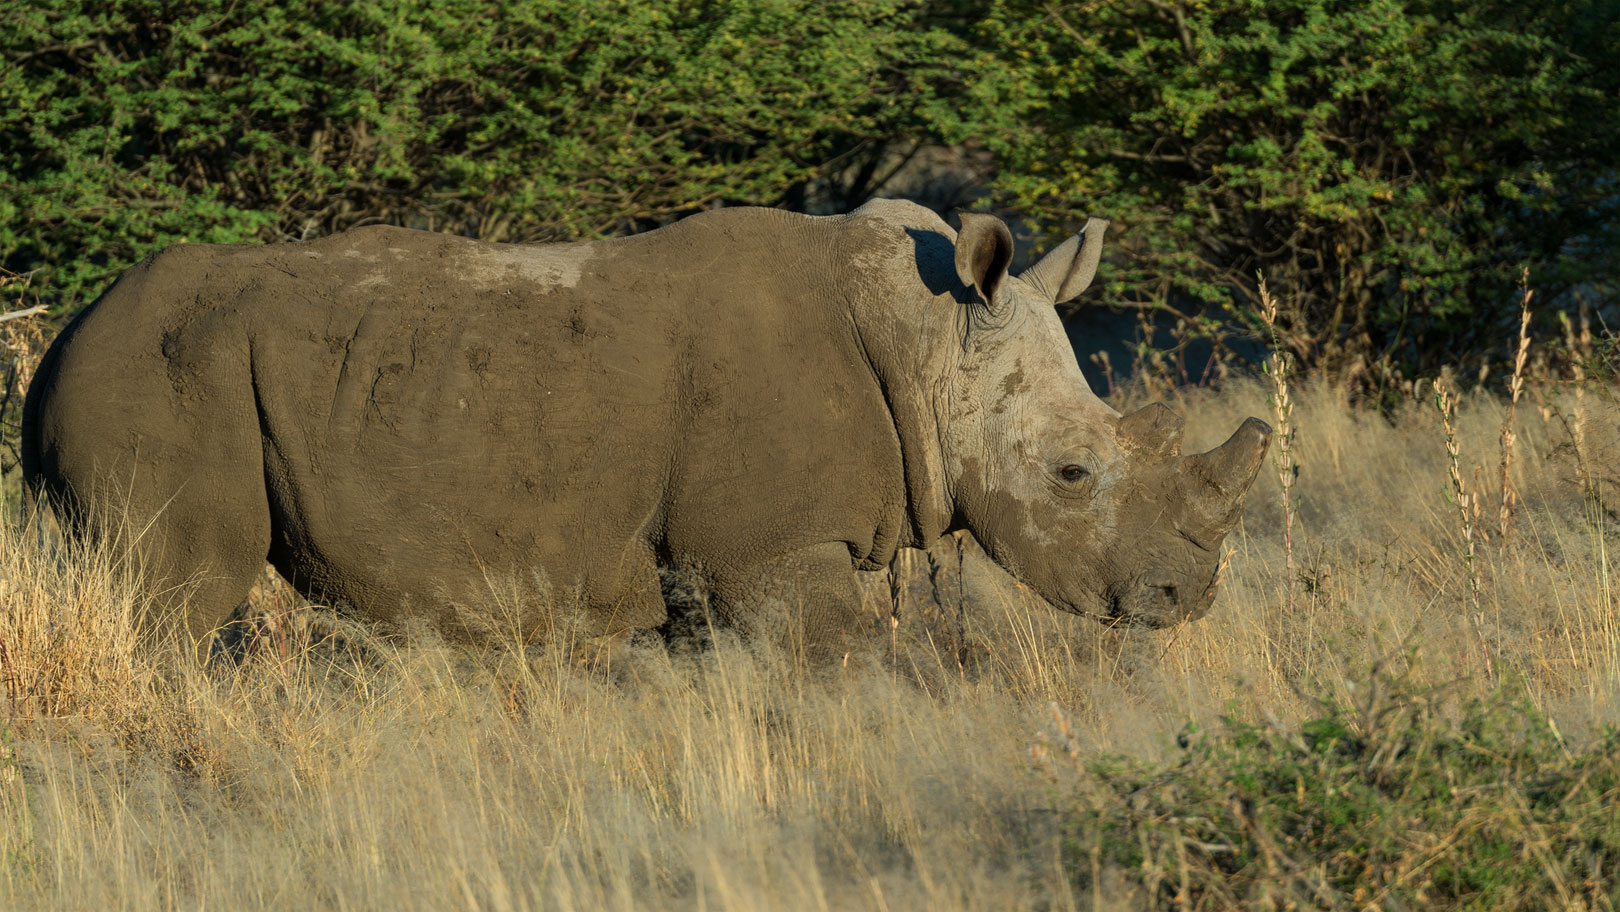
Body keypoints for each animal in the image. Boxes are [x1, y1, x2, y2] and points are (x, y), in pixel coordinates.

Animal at [19, 200, 1270, 660]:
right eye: (1070, 473)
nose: (1185, 601)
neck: (929, 341)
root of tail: (64, 338)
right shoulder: (769, 549)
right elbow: (830, 666)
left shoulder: (715, 561)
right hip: (159, 378)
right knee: (172, 600)